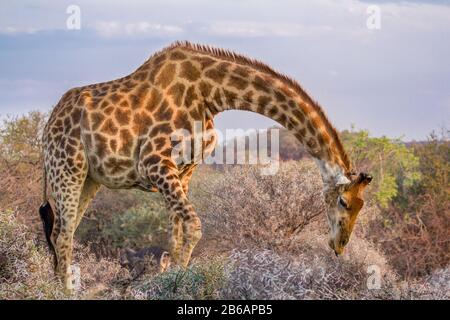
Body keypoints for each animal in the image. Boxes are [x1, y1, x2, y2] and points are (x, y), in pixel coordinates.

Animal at [39, 41, 372, 292]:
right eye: (343, 202)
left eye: (361, 205)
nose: (339, 245)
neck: (211, 94)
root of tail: (48, 124)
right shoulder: (154, 162)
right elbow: (194, 227)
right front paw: (175, 281)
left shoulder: (184, 170)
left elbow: (176, 234)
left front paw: (168, 276)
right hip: (67, 167)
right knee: (64, 234)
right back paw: (63, 291)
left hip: (90, 179)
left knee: (60, 231)